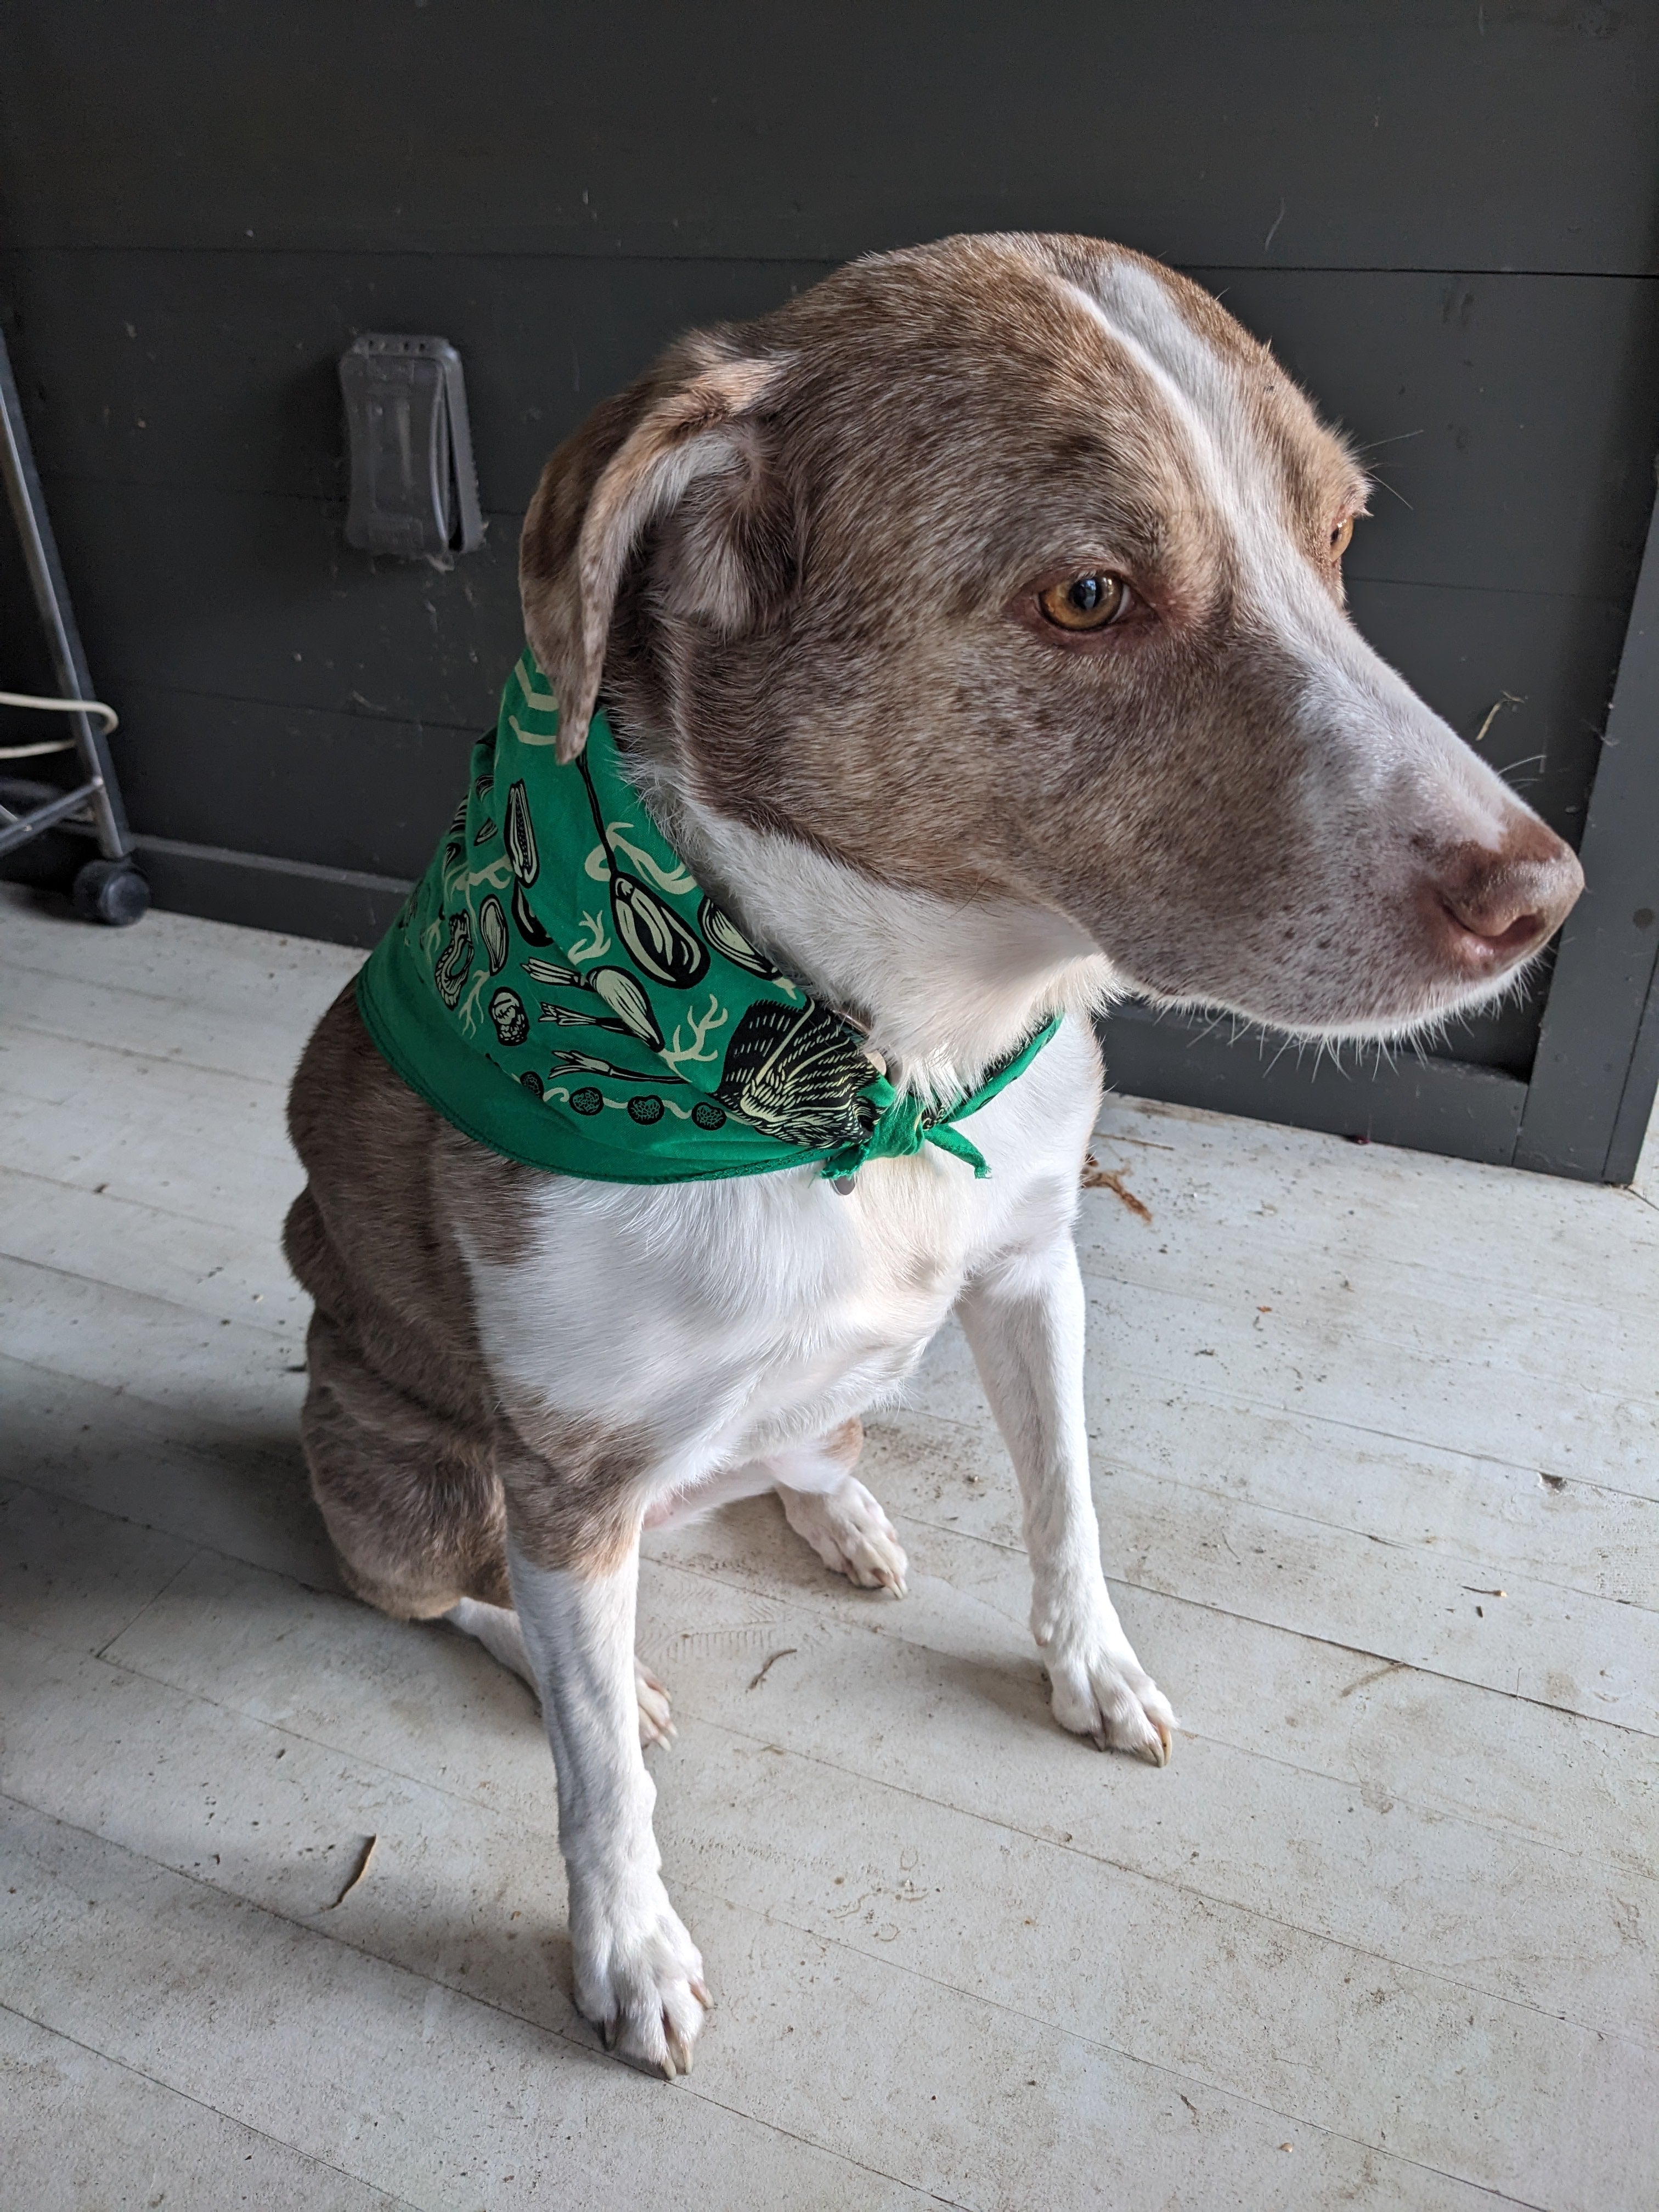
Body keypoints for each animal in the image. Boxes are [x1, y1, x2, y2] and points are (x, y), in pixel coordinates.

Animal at [285, 238, 1583, 2070]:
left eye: (1339, 536)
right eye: (1089, 598)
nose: (1546, 899)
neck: (878, 1063)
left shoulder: (1033, 1270)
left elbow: (1068, 1505)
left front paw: (1091, 1669)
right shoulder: (568, 1476)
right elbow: (596, 1778)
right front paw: (627, 1946)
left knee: (796, 1442)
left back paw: (834, 1505)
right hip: (401, 1475)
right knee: (452, 1597)